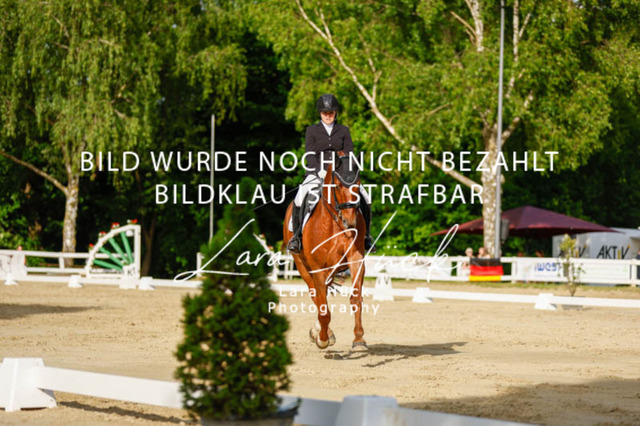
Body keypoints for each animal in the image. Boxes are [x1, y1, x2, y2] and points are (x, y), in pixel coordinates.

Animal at [283, 153, 367, 350]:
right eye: (337, 186)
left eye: (358, 185)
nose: (350, 223)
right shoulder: (317, 267)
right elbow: (323, 308)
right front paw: (322, 338)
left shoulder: (356, 258)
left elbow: (355, 298)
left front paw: (359, 339)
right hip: (301, 265)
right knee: (315, 294)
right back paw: (322, 332)